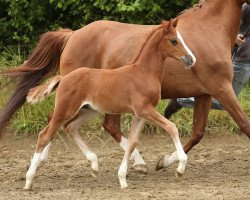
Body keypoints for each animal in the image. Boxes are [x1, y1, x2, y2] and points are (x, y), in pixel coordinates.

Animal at [23, 19, 195, 190]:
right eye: (174, 40)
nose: (191, 59)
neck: (144, 72)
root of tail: (63, 78)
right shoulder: (144, 109)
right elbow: (171, 127)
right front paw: (180, 168)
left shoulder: (140, 114)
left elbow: (133, 142)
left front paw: (123, 178)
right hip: (65, 110)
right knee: (45, 135)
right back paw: (29, 179)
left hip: (89, 110)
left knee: (70, 127)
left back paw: (94, 165)